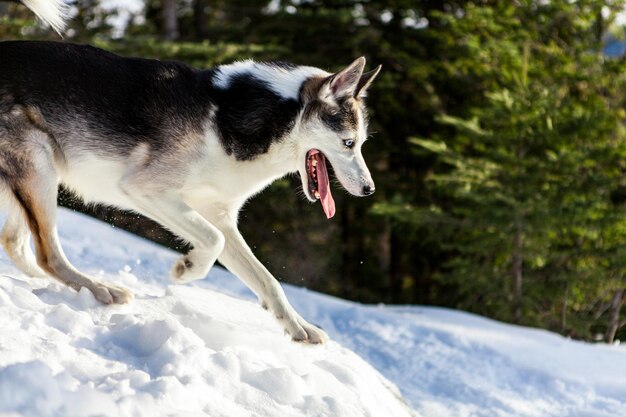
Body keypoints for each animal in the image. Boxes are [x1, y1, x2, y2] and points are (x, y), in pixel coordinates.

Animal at [0, 0, 378, 342]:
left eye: (361, 143)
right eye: (348, 143)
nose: (369, 190)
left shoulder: (219, 214)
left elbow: (266, 279)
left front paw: (299, 327)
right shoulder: (146, 190)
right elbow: (212, 240)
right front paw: (187, 269)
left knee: (17, 245)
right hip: (40, 168)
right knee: (48, 255)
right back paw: (100, 289)